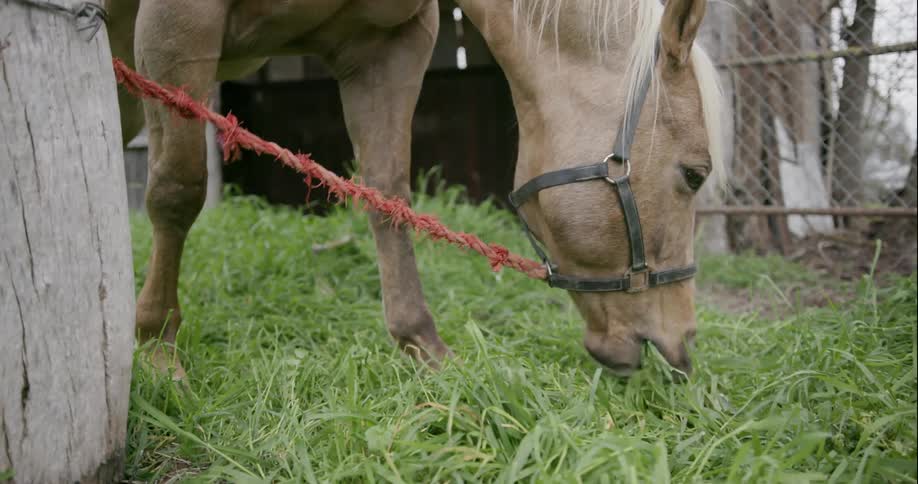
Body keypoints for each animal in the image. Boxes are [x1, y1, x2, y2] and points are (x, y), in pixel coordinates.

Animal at [105, 0, 725, 379]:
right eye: (694, 174)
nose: (684, 342)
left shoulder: (387, 44)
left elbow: (389, 199)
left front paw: (421, 347)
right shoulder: (177, 26)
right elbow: (178, 190)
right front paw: (156, 347)